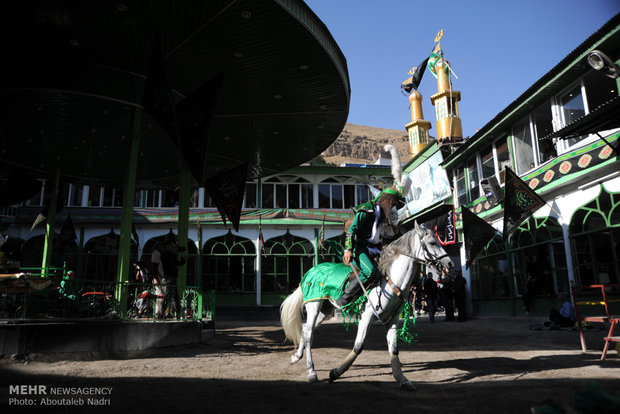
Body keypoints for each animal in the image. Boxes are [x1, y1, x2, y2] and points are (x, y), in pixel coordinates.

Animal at [280, 222, 450, 390]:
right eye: (432, 242)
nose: (450, 263)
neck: (391, 280)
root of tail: (311, 271)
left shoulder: (393, 320)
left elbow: (394, 350)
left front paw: (403, 380)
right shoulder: (366, 317)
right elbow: (358, 347)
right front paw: (335, 373)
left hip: (326, 310)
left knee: (306, 330)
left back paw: (296, 357)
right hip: (314, 305)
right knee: (309, 333)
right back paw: (311, 372)